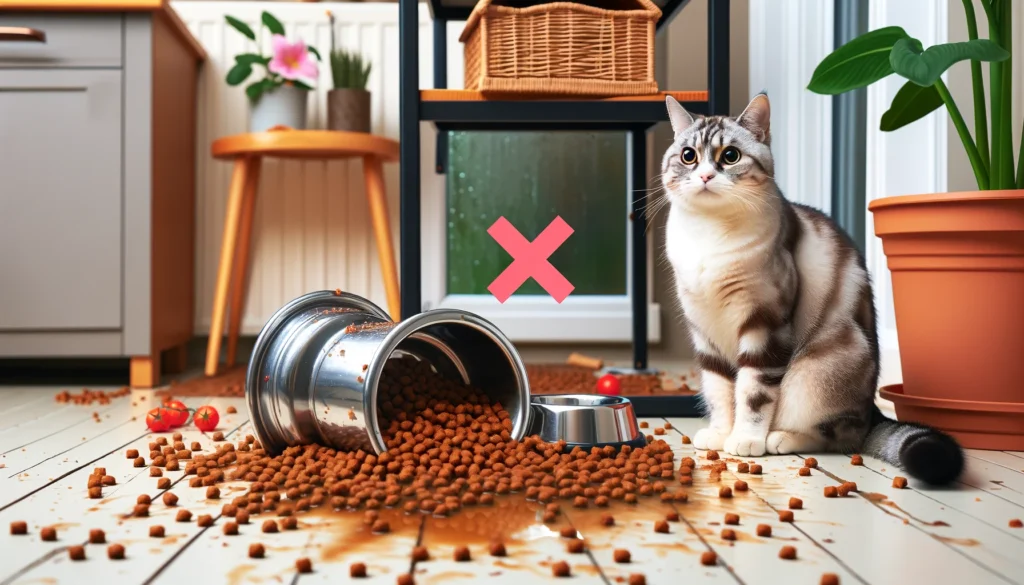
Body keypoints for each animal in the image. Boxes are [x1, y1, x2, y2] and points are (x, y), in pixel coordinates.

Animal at [659, 92, 962, 485]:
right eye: (688, 156)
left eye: (730, 156)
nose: (707, 175)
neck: (708, 235)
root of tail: (872, 411)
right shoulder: (704, 330)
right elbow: (720, 388)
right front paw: (722, 432)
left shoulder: (765, 323)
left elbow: (753, 391)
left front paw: (745, 439)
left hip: (814, 373)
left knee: (841, 434)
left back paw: (781, 438)